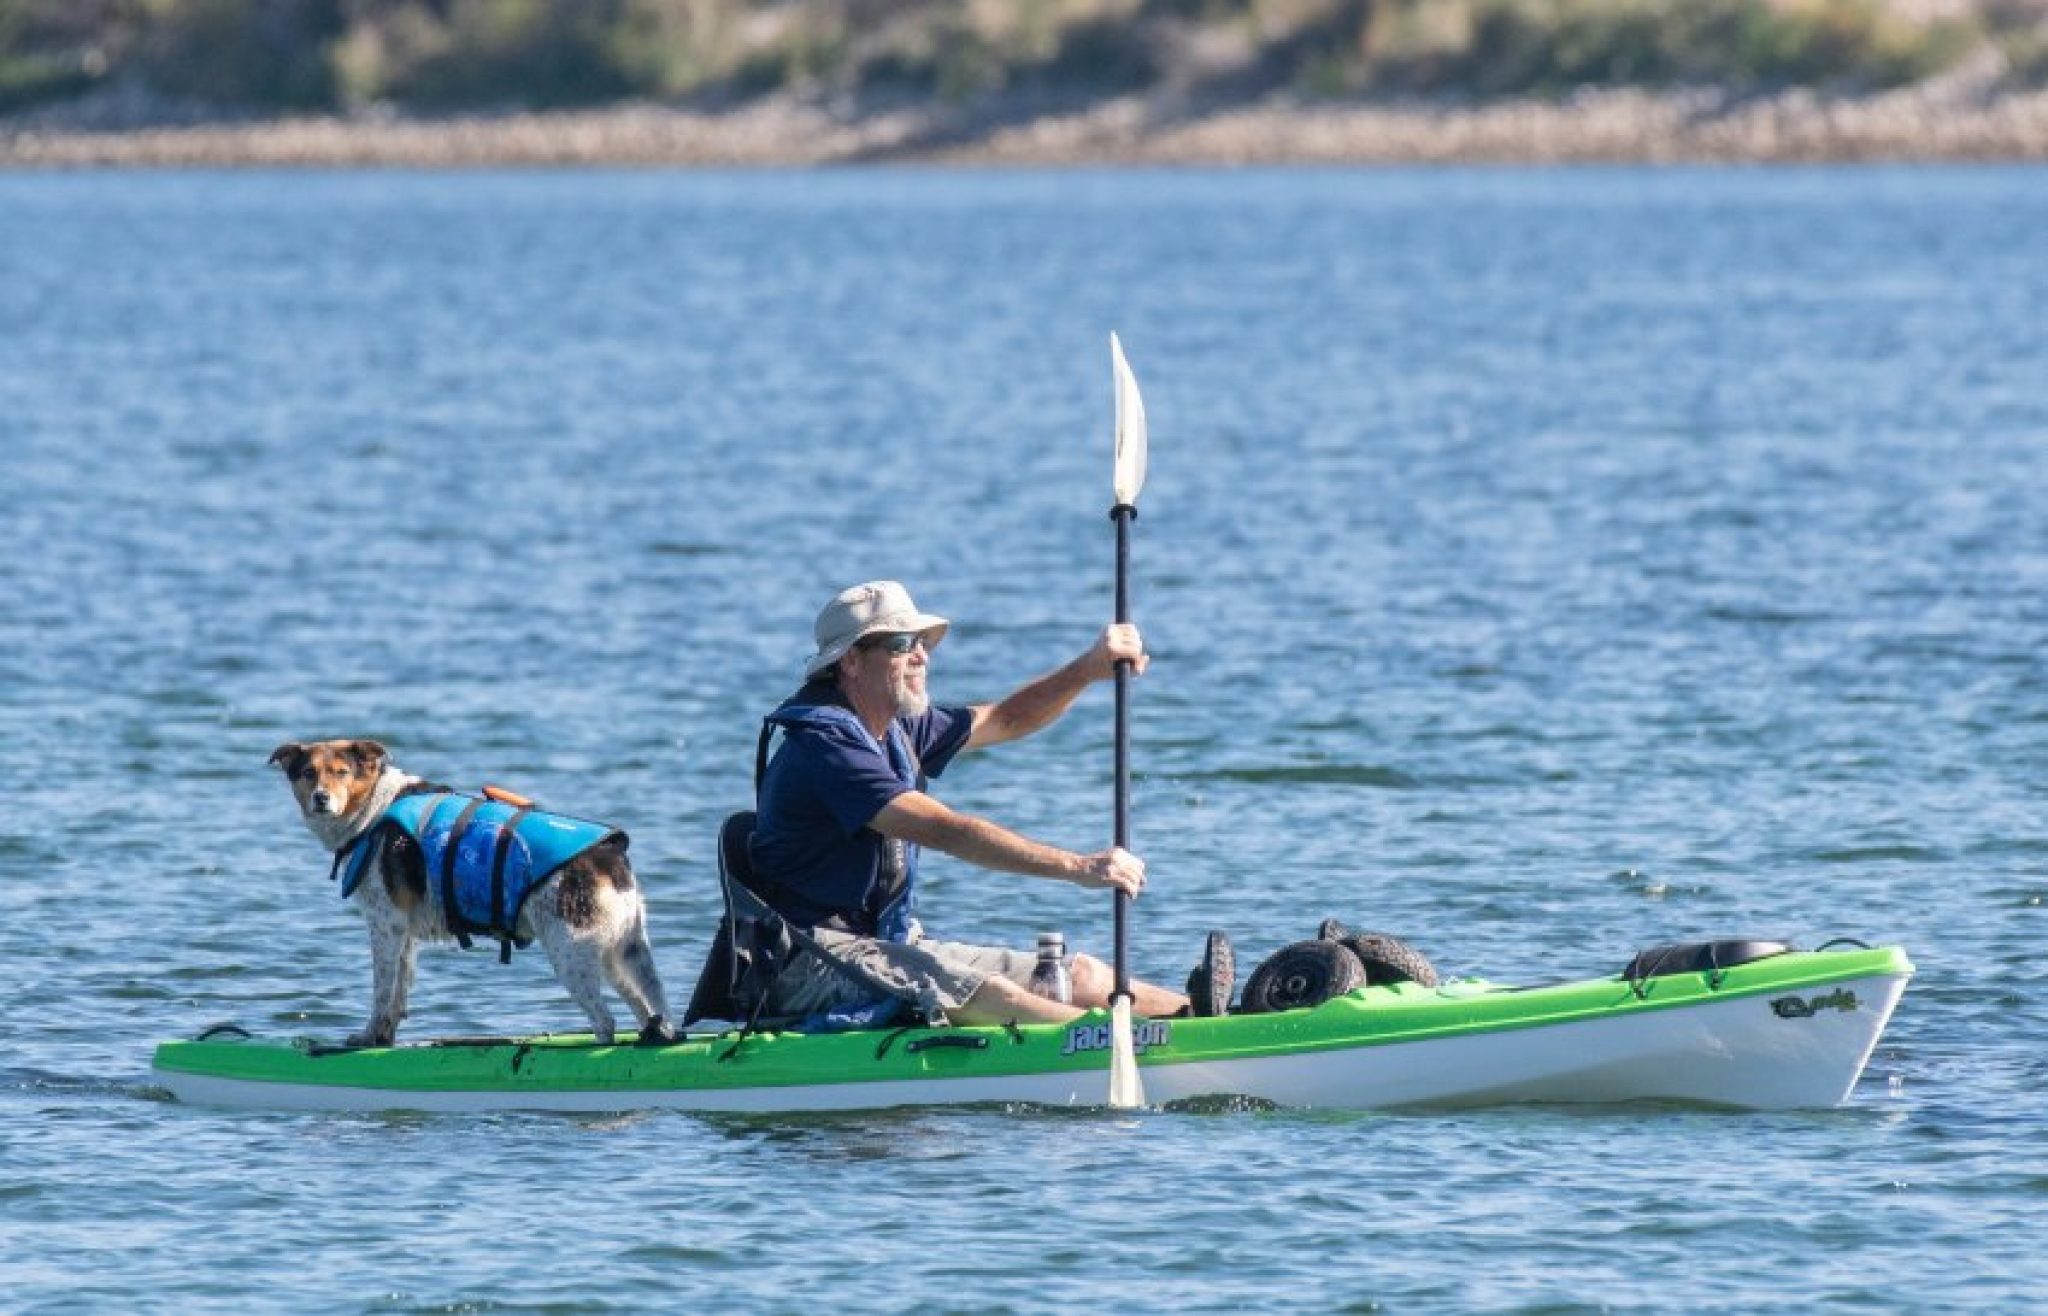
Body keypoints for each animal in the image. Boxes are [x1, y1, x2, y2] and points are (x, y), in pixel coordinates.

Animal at [266, 740, 671, 1047]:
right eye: (308, 773)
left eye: (341, 772)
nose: (321, 798)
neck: (374, 810)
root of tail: (608, 856)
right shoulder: (404, 934)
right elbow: (398, 992)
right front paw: (384, 1037)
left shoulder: (385, 925)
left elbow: (381, 992)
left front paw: (367, 1038)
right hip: (624, 953)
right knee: (654, 1013)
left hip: (571, 954)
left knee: (606, 1024)